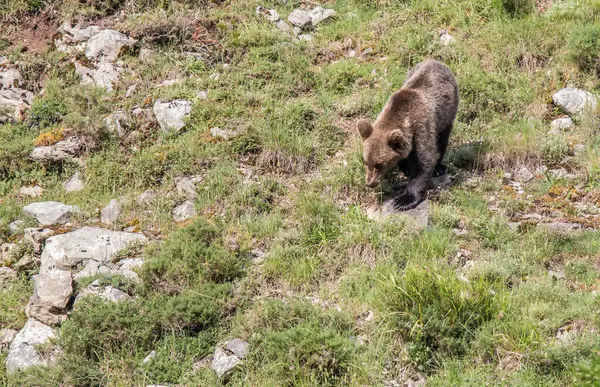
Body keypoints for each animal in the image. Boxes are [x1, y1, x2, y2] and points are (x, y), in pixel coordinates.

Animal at [356, 60, 460, 211]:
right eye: (366, 161)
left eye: (379, 164)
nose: (369, 183)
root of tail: (436, 61)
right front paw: (405, 167)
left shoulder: (421, 128)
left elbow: (425, 161)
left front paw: (403, 200)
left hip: (447, 114)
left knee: (442, 140)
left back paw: (439, 168)